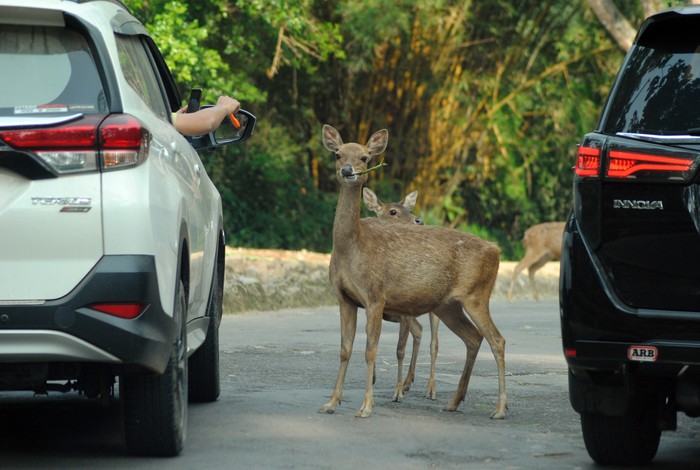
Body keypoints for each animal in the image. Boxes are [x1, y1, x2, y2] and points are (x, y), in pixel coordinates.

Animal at [364, 187, 440, 400]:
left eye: (409, 209)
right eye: (393, 211)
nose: (419, 220)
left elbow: (400, 350)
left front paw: (396, 392)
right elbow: (372, 341)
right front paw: (375, 377)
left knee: (434, 343)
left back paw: (430, 389)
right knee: (419, 330)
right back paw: (408, 382)